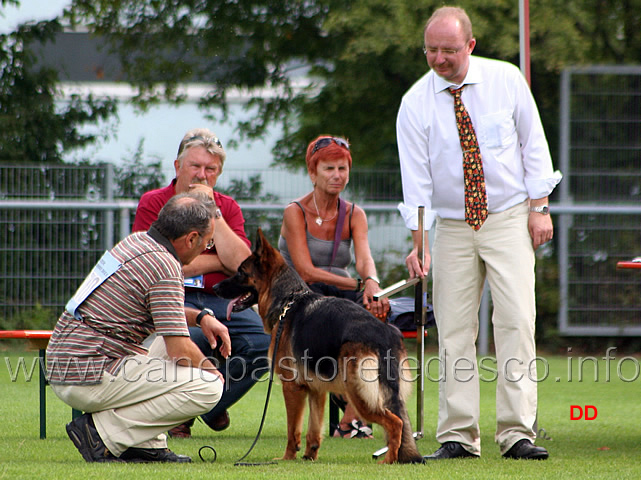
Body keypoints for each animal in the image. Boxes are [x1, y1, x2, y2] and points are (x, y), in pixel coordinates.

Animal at [215, 231, 422, 464]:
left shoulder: (292, 386)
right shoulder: (317, 389)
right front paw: (309, 456)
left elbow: (293, 429)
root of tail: (385, 333)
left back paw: (388, 460)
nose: (214, 288)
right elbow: (313, 429)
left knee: (396, 423)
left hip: (359, 394)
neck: (287, 301)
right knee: (400, 421)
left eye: (241, 272)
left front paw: (287, 457)